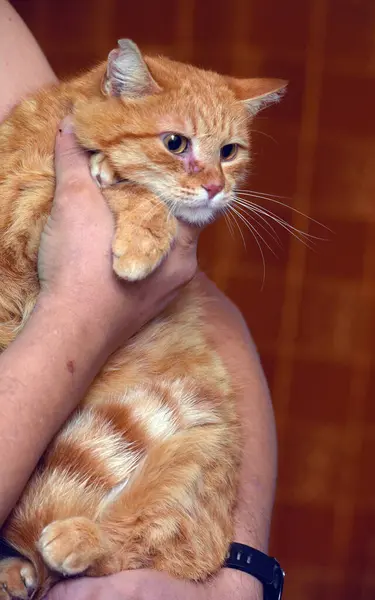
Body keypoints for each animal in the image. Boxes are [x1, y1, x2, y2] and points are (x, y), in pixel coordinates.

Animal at [0, 39, 284, 596]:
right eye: (176, 143)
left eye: (229, 151)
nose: (216, 187)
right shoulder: (16, 207)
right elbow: (131, 189)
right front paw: (122, 190)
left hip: (198, 453)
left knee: (150, 541)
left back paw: (73, 541)